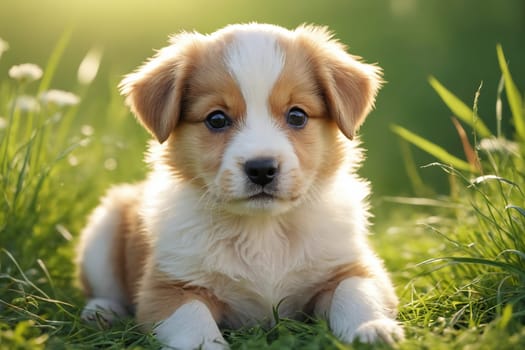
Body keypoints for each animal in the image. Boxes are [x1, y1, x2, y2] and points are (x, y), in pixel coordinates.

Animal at [78, 23, 404, 348]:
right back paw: (101, 311)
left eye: (297, 115)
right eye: (217, 119)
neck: (263, 231)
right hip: (103, 230)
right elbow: (193, 322)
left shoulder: (353, 265)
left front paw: (372, 328)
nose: (261, 169)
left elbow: (354, 292)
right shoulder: (168, 287)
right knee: (104, 288)